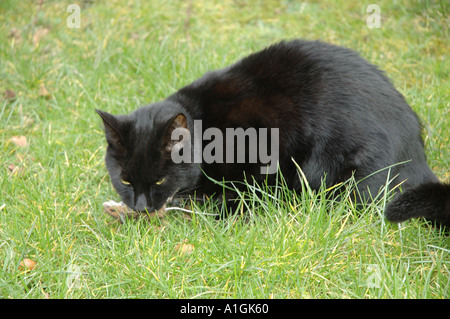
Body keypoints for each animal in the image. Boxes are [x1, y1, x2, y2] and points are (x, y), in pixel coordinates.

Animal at [96, 40, 448, 229]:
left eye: (159, 180)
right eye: (124, 180)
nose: (142, 207)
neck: (202, 124)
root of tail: (418, 158)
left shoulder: (264, 143)